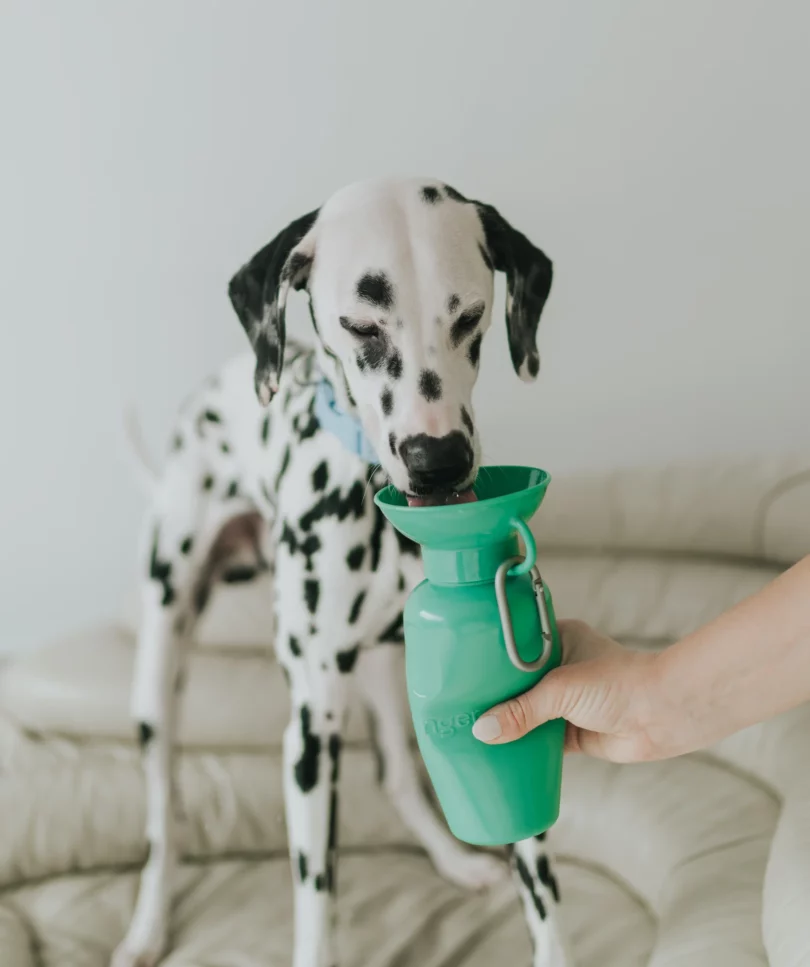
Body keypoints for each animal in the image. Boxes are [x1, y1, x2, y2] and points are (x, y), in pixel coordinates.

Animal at [115, 176, 568, 967]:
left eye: (469, 316)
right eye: (361, 326)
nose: (437, 461)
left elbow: (537, 874)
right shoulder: (311, 727)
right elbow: (315, 895)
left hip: (386, 672)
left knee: (397, 774)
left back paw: (455, 859)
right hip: (159, 674)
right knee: (164, 817)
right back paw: (146, 925)